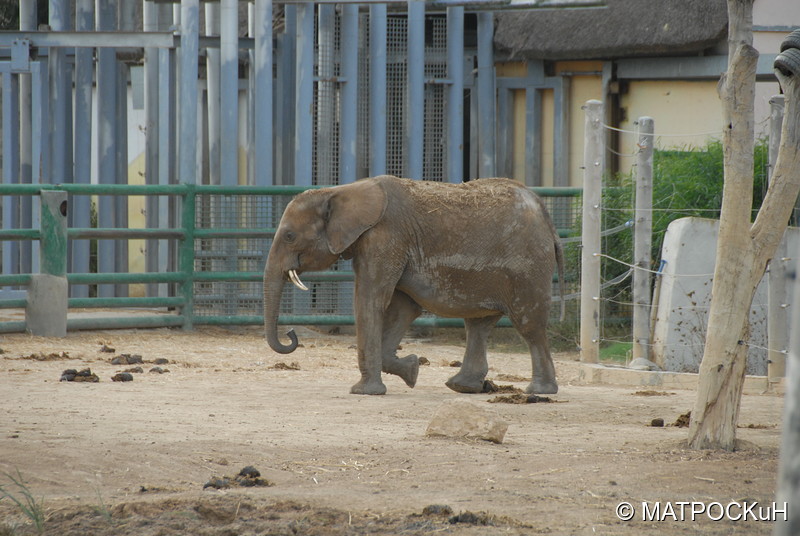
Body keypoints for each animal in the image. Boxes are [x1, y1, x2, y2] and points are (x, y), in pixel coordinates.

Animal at [262, 174, 564, 396]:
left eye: (289, 236)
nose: (291, 334)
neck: (340, 191)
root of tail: (545, 213)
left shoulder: (386, 237)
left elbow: (370, 300)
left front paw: (365, 392)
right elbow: (403, 309)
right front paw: (413, 370)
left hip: (528, 265)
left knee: (529, 324)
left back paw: (540, 391)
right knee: (478, 324)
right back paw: (461, 386)